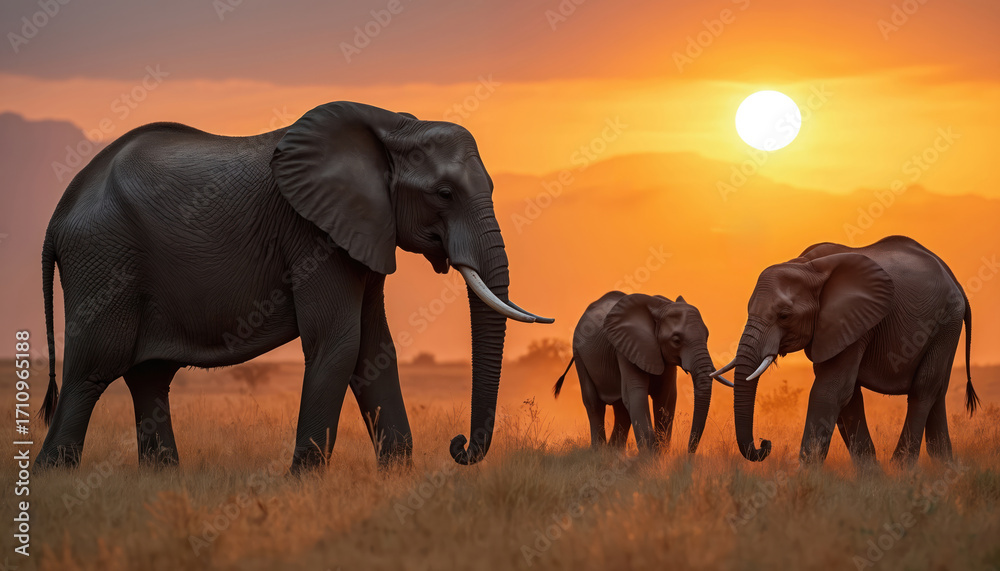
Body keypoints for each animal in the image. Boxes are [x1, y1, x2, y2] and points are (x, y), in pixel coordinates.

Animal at [35, 101, 553, 473]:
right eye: (444, 194)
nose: (458, 444)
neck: (394, 127)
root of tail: (58, 215)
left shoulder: (362, 232)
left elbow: (374, 350)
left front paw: (396, 477)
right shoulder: (312, 234)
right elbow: (340, 344)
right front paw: (303, 482)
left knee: (149, 376)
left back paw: (162, 478)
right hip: (104, 260)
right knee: (92, 370)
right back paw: (53, 476)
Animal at [553, 291, 732, 452]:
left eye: (707, 336)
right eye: (676, 340)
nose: (688, 453)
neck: (661, 307)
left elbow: (666, 398)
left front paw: (660, 454)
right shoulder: (626, 347)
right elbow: (636, 395)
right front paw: (650, 456)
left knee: (621, 409)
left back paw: (613, 453)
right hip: (579, 354)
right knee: (594, 403)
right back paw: (599, 452)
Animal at [713, 235, 980, 467]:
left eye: (784, 316)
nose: (765, 443)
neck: (807, 265)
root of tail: (955, 281)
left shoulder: (855, 320)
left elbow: (830, 390)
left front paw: (805, 475)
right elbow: (847, 395)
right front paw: (870, 476)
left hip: (946, 323)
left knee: (923, 389)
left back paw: (901, 467)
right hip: (947, 325)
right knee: (938, 392)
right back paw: (944, 466)